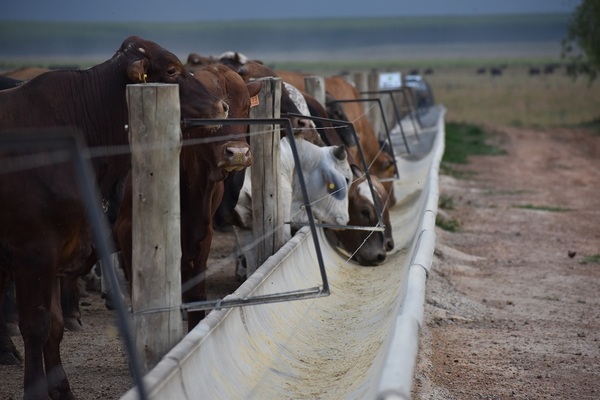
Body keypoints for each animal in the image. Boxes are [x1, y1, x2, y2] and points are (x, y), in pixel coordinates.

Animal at [0, 35, 229, 400]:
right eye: (171, 70)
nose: (222, 107)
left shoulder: (60, 250)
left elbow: (54, 326)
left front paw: (62, 390)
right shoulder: (33, 251)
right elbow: (36, 326)